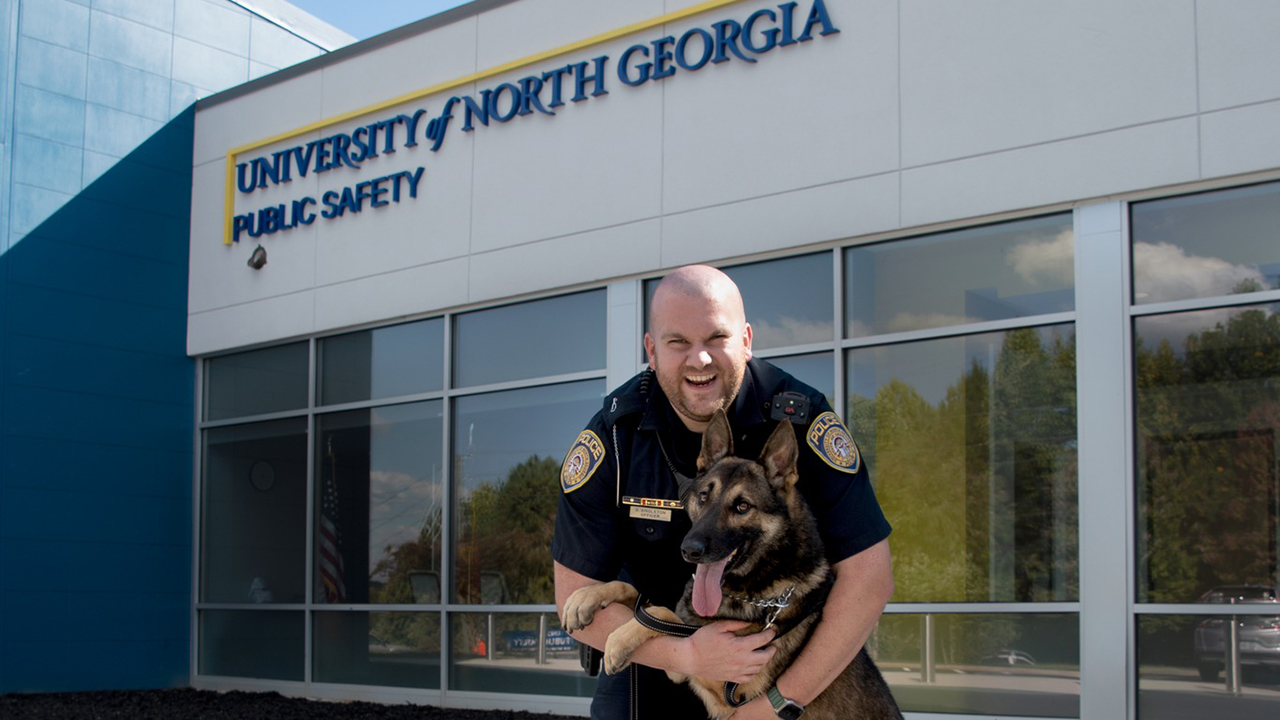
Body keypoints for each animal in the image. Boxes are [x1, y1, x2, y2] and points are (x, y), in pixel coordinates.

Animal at [560, 409, 901, 717]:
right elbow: (640, 596)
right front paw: (585, 598)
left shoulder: (713, 680)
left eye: (742, 506)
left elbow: (663, 615)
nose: (689, 550)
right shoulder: (682, 663)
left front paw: (617, 640)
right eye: (702, 497)